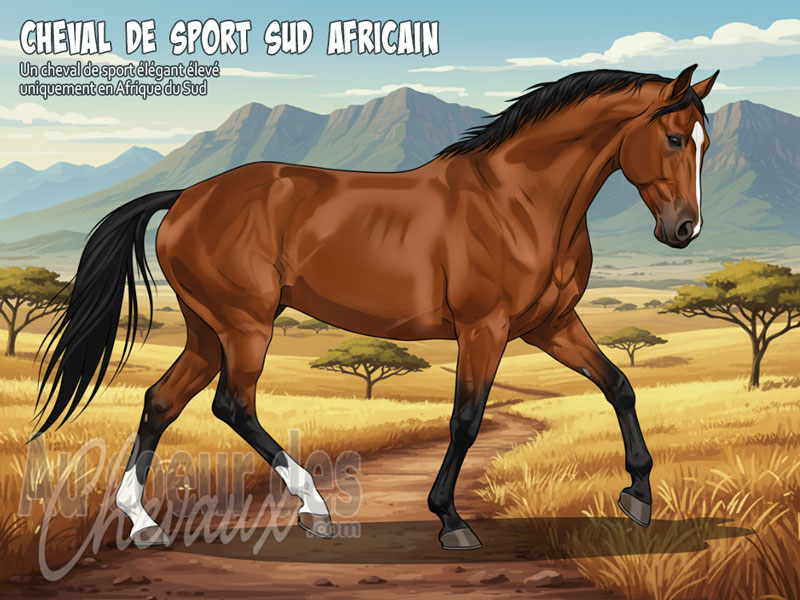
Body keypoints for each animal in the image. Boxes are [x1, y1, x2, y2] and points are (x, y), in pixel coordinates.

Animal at [35, 64, 718, 551]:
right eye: (673, 137)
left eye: (706, 144)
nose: (685, 230)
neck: (518, 201)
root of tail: (185, 197)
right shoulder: (485, 328)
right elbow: (466, 419)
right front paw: (450, 520)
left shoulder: (551, 325)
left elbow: (620, 385)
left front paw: (639, 495)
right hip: (244, 325)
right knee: (232, 404)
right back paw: (314, 508)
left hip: (208, 329)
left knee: (161, 401)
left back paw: (144, 523)